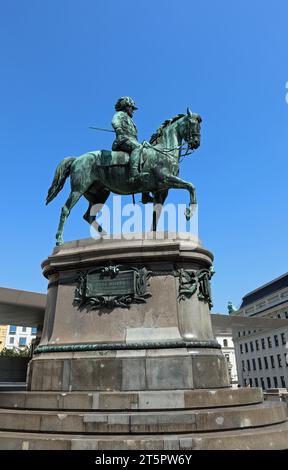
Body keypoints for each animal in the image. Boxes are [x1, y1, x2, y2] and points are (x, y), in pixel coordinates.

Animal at [46, 107, 201, 246]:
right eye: (192, 123)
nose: (196, 143)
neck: (164, 151)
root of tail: (77, 159)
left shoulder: (161, 191)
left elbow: (156, 213)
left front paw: (153, 234)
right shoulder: (166, 179)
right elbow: (191, 186)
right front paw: (189, 212)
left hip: (99, 194)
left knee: (89, 215)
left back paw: (105, 236)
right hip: (78, 189)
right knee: (66, 210)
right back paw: (59, 240)